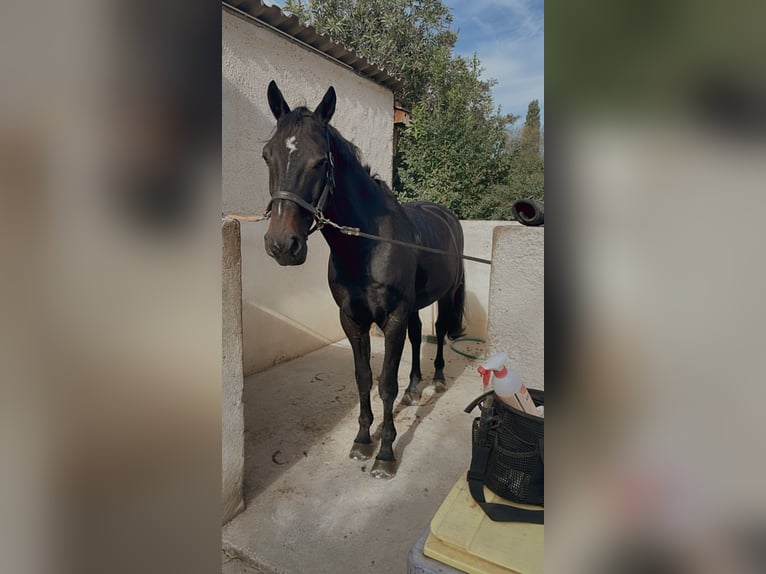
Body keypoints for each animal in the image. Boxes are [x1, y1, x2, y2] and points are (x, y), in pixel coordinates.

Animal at [264, 80, 468, 476]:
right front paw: (362, 440)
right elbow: (363, 379)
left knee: (439, 331)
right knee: (418, 334)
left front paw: (385, 454)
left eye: (320, 161)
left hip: (446, 294)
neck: (367, 246)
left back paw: (436, 380)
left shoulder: (392, 320)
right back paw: (415, 387)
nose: (282, 245)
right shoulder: (353, 320)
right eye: (267, 155)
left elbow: (386, 383)